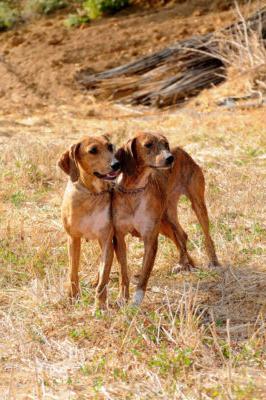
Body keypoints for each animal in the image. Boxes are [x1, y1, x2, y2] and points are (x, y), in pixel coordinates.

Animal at [58, 136, 120, 308]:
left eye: (110, 146)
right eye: (93, 150)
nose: (116, 164)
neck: (92, 195)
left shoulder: (106, 240)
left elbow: (104, 278)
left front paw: (100, 305)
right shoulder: (73, 239)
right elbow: (73, 271)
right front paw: (73, 297)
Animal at [113, 133, 219, 304]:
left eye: (166, 144)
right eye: (148, 145)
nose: (170, 158)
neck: (134, 191)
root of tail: (182, 150)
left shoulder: (150, 239)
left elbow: (144, 274)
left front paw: (136, 302)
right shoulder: (119, 238)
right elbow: (123, 272)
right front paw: (122, 297)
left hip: (197, 206)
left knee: (207, 236)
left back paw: (213, 262)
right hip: (166, 219)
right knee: (182, 236)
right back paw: (184, 264)